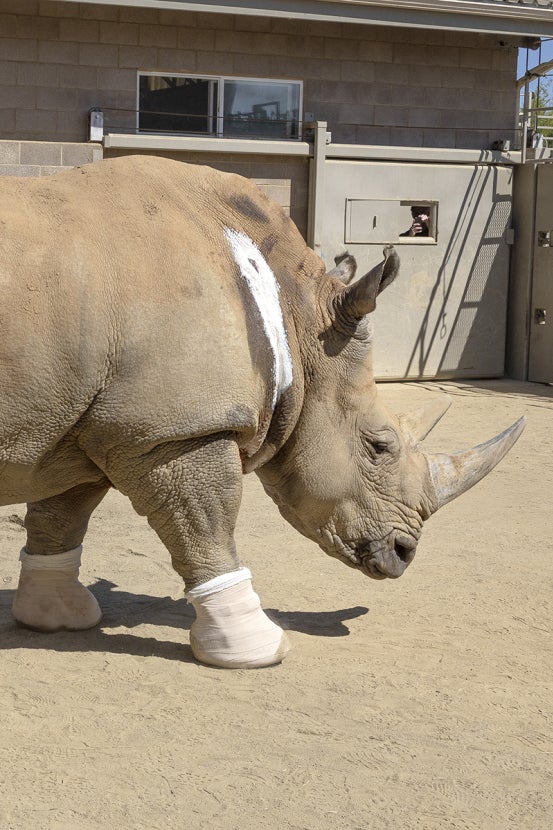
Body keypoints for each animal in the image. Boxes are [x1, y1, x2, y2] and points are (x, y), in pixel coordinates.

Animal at [0, 156, 524, 669]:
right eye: (379, 447)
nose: (404, 554)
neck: (297, 319)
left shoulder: (88, 421)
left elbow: (62, 511)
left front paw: (57, 616)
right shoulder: (174, 430)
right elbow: (206, 523)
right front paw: (255, 647)